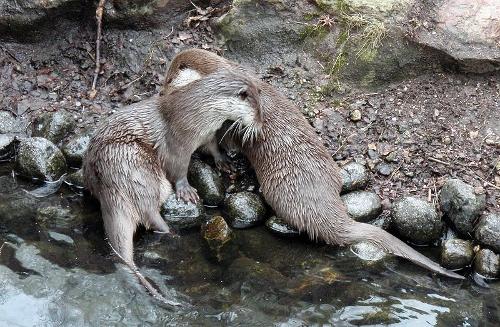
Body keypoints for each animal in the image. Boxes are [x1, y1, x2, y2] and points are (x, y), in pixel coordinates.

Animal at [83, 70, 266, 302]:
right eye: (257, 111)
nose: (261, 126)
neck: (198, 114)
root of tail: (109, 184)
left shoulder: (208, 133)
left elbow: (213, 147)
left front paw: (224, 161)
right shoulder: (177, 142)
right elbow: (177, 168)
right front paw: (186, 190)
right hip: (135, 165)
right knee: (149, 213)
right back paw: (171, 232)